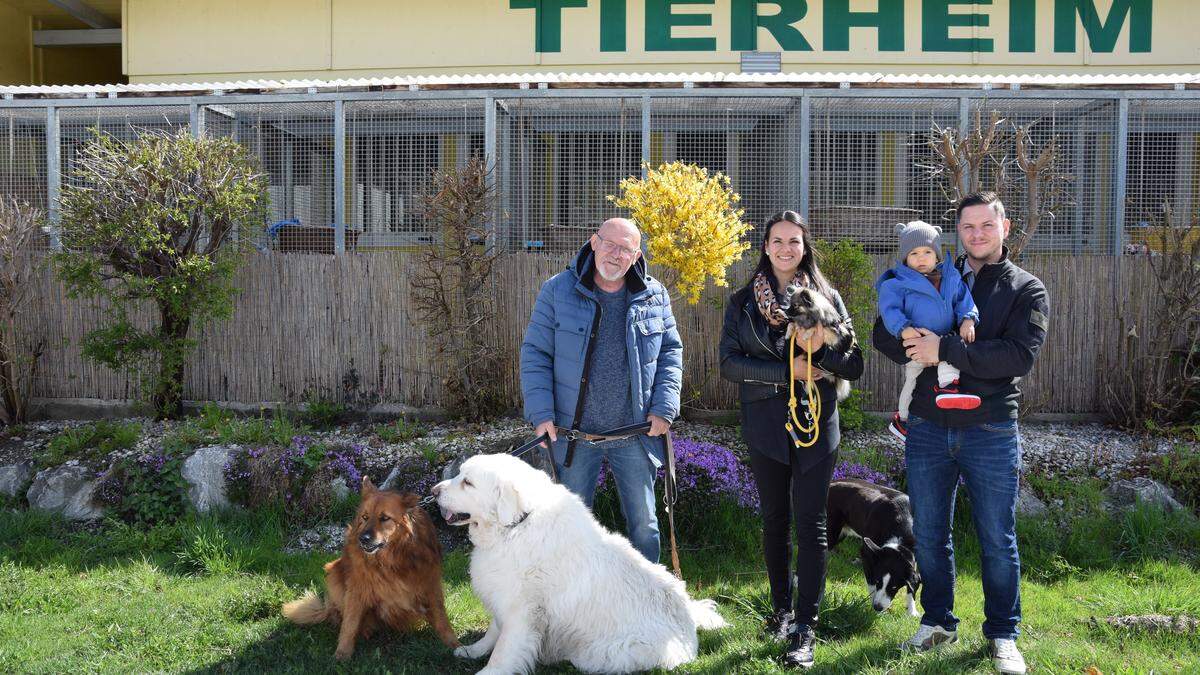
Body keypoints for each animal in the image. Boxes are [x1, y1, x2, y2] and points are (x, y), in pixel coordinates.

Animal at [280, 475, 458, 658]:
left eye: (385, 518)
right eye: (365, 517)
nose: (362, 539)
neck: (392, 559)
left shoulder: (430, 585)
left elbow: (441, 619)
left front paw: (455, 645)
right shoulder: (357, 588)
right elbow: (350, 623)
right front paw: (342, 654)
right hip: (333, 572)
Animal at [434, 451, 724, 672]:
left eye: (467, 482)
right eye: (460, 475)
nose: (434, 490)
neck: (516, 525)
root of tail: (689, 629)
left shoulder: (522, 611)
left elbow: (504, 650)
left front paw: (489, 671)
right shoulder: (502, 595)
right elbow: (493, 632)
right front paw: (472, 651)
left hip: (604, 653)